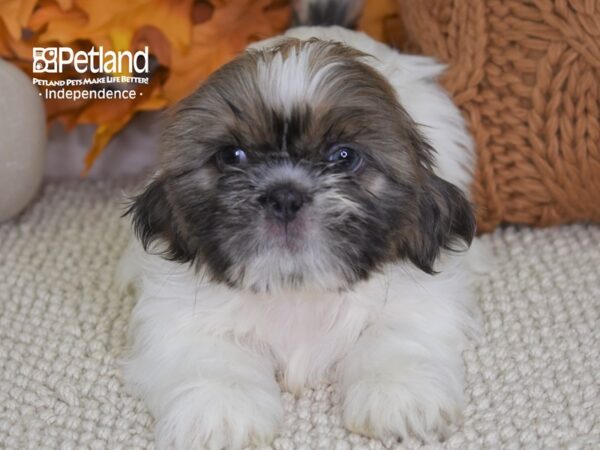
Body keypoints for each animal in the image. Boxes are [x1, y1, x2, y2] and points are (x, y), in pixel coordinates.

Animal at [119, 1, 486, 448]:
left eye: (344, 157)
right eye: (232, 156)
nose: (284, 195)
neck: (296, 289)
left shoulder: (418, 298)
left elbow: (396, 334)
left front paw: (399, 397)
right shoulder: (175, 315)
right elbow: (210, 355)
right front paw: (220, 411)